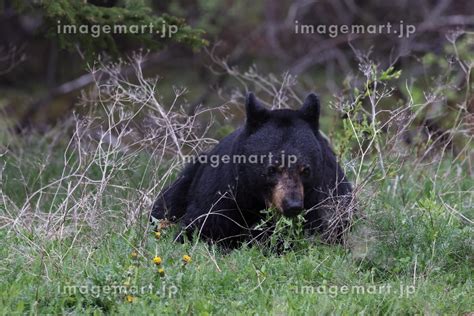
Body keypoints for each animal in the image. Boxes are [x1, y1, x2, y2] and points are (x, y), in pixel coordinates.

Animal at [152, 92, 356, 248]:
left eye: (305, 170)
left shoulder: (326, 194)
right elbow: (200, 226)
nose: (293, 205)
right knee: (166, 204)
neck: (257, 199)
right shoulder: (224, 191)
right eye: (272, 169)